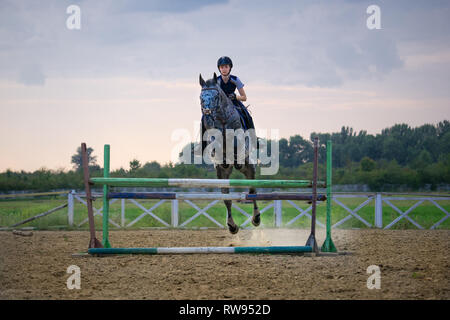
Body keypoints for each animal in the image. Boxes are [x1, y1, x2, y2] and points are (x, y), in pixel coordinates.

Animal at [200, 72, 260, 232]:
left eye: (215, 96)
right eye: (201, 96)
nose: (207, 112)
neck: (221, 118)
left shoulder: (239, 138)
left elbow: (236, 144)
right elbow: (216, 143)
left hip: (250, 167)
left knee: (252, 191)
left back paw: (256, 219)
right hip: (222, 174)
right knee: (226, 198)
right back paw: (232, 226)